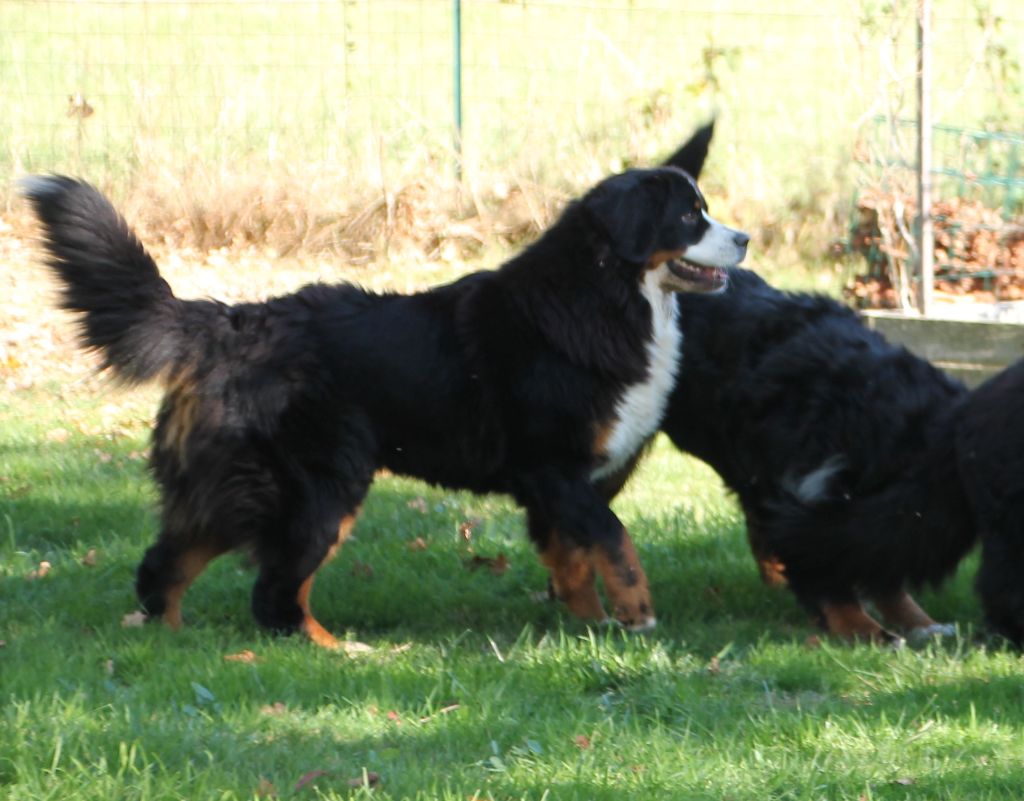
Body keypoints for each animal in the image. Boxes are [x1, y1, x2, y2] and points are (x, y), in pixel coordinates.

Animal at [19, 155, 749, 647]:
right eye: (690, 216)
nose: (743, 239)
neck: (603, 296)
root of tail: (232, 321)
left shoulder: (557, 485)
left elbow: (572, 559)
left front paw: (591, 627)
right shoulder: (554, 466)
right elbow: (613, 537)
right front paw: (637, 612)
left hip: (231, 486)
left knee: (166, 565)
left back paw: (170, 639)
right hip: (320, 487)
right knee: (274, 594)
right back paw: (339, 651)